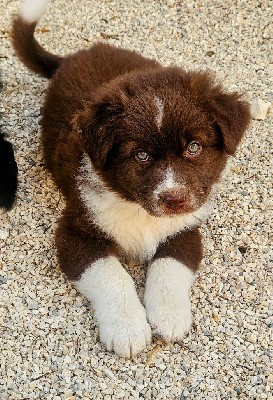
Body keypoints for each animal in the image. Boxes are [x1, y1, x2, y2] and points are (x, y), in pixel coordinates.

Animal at [12, 0, 250, 356]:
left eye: (194, 147)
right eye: (141, 155)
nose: (174, 198)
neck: (140, 211)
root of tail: (77, 55)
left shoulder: (185, 228)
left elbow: (170, 266)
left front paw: (168, 316)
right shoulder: (75, 231)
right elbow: (111, 274)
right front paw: (128, 330)